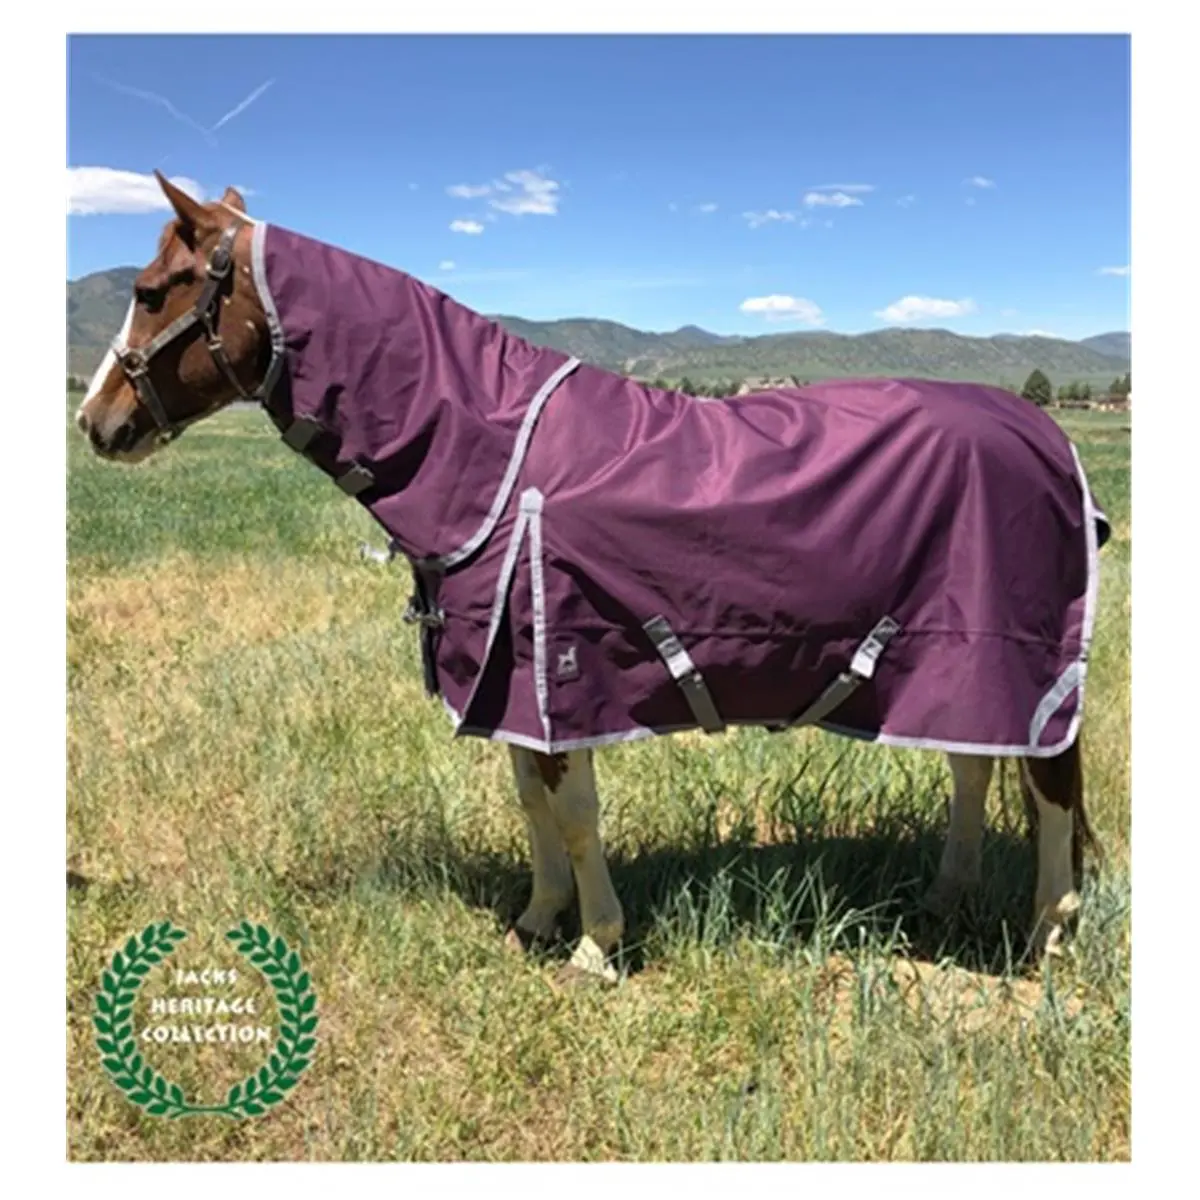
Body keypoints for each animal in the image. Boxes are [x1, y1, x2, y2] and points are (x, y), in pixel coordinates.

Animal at [75, 174, 1107, 983]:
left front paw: (595, 946)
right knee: (975, 764)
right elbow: (532, 802)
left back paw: (1050, 934)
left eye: (153, 288)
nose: (96, 422)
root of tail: (1043, 433)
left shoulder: (556, 672)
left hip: (1015, 656)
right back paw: (946, 893)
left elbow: (572, 812)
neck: (491, 450)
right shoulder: (505, 681)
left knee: (1051, 782)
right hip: (954, 666)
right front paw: (537, 920)